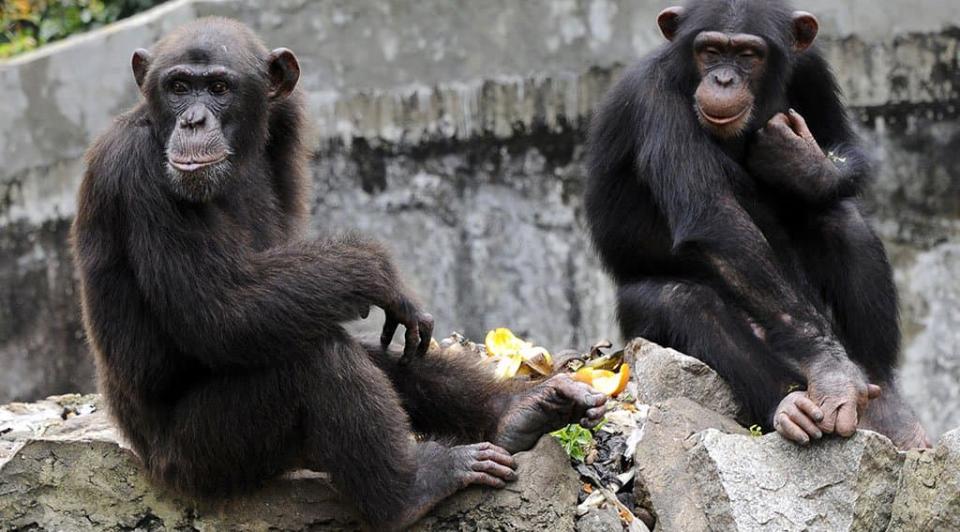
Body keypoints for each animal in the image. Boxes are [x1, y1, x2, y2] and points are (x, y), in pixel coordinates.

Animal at [71, 16, 604, 528]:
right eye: (178, 86)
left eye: (219, 88)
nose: (193, 118)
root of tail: (148, 463)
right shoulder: (139, 172)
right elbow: (221, 311)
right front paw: (378, 271)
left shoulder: (285, 129)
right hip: (204, 458)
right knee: (315, 359)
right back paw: (412, 489)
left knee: (367, 347)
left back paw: (520, 411)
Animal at [580, 0, 928, 448]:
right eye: (710, 51)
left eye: (748, 55)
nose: (724, 78)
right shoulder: (654, 98)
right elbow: (714, 218)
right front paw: (831, 370)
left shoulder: (812, 66)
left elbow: (843, 143)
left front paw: (801, 162)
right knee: (684, 302)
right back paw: (790, 404)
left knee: (841, 218)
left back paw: (888, 409)